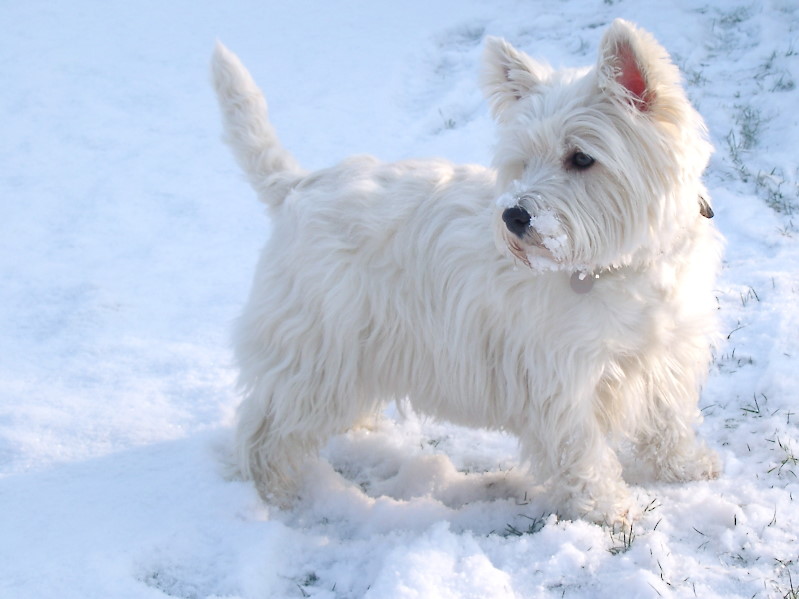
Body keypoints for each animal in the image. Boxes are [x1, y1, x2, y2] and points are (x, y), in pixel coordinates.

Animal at [212, 19, 724, 524]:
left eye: (581, 158)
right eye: (523, 160)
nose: (514, 216)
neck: (616, 265)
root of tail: (299, 184)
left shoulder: (667, 352)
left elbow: (668, 419)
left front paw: (686, 468)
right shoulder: (563, 376)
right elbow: (581, 451)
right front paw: (607, 510)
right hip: (313, 347)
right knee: (266, 430)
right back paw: (274, 496)